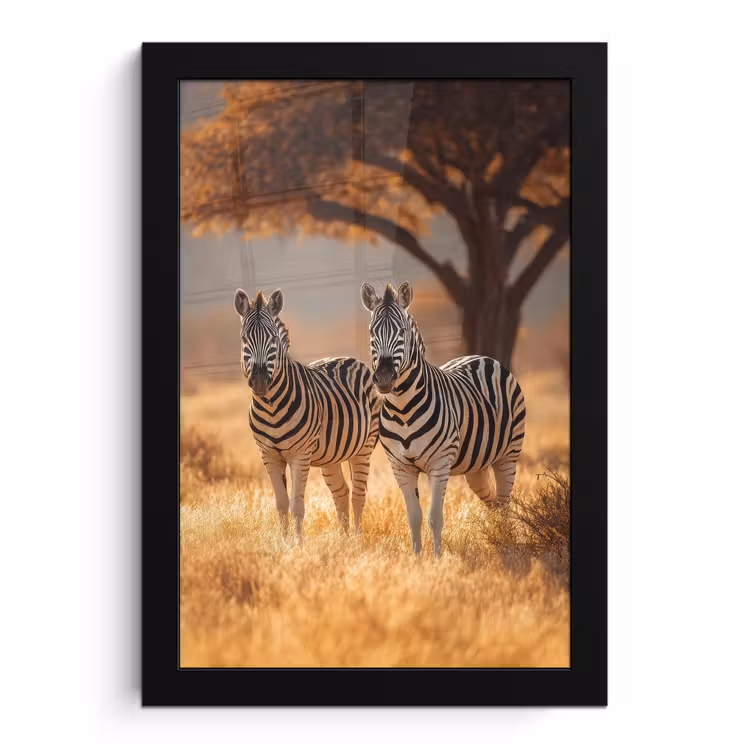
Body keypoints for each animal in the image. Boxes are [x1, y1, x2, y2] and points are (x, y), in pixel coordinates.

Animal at [234, 288, 381, 537]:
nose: (261, 381)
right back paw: (344, 541)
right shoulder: (268, 455)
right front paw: (283, 542)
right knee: (341, 493)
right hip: (331, 456)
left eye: (273, 339)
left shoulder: (300, 455)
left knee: (358, 496)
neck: (271, 407)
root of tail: (350, 358)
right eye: (245, 339)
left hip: (364, 447)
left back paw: (357, 540)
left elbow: (297, 505)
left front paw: (298, 543)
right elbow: (281, 504)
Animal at [360, 281, 526, 556]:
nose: (383, 378)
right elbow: (414, 517)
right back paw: (497, 539)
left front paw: (437, 559)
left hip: (508, 454)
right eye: (372, 332)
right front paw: (417, 557)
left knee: (503, 504)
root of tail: (482, 357)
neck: (403, 409)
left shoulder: (440, 463)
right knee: (492, 502)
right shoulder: (400, 467)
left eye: (402, 332)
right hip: (476, 466)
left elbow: (434, 518)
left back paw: (507, 545)